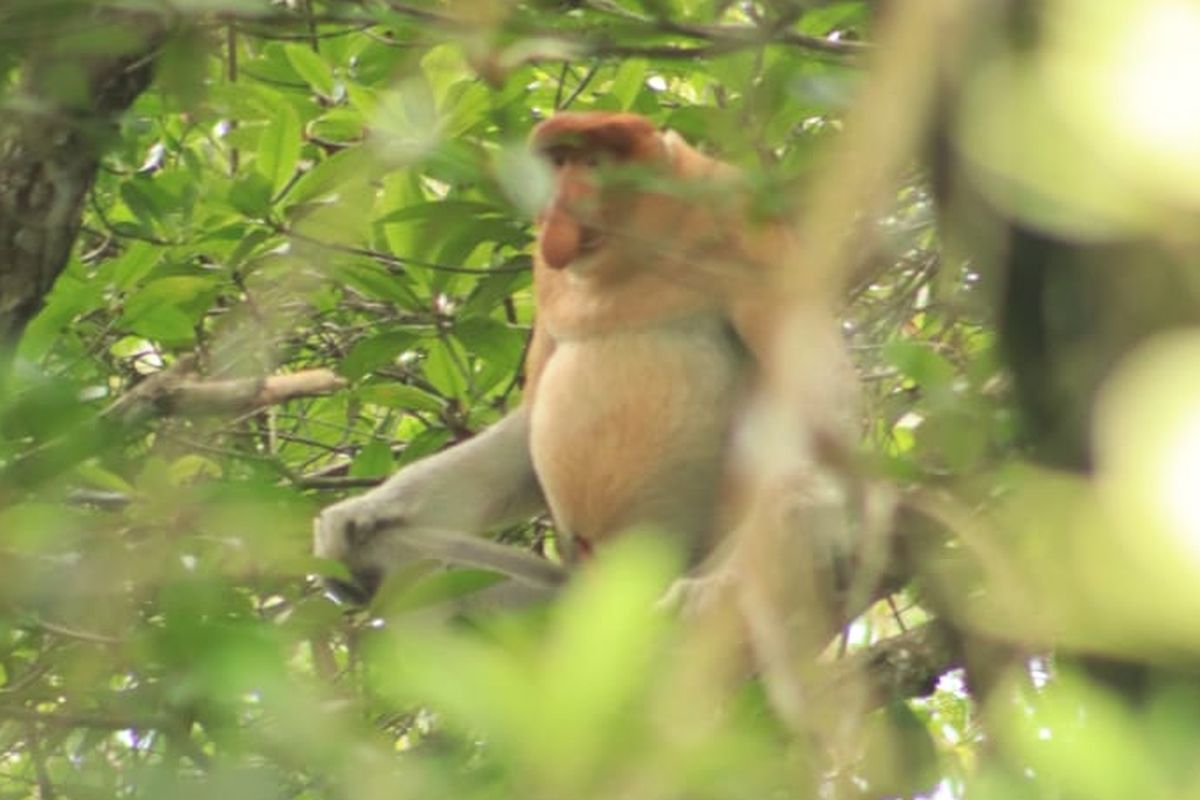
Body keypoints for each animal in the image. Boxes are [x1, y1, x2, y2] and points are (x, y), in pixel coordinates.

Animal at [309, 112, 854, 609]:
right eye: (558, 162)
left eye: (594, 163)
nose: (561, 205)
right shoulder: (547, 275)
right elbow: (529, 428)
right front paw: (359, 514)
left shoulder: (743, 221)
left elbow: (811, 383)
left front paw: (817, 505)